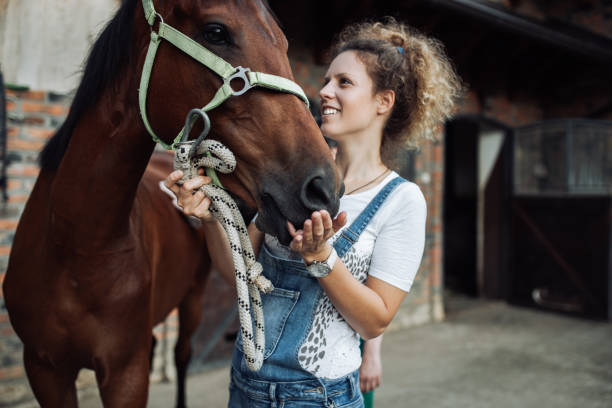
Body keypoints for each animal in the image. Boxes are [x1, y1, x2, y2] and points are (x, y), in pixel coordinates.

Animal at [2, 1, 342, 406]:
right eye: (216, 31)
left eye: (285, 42)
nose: (324, 188)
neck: (75, 248)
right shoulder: (44, 370)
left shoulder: (125, 373)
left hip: (192, 299)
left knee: (181, 355)